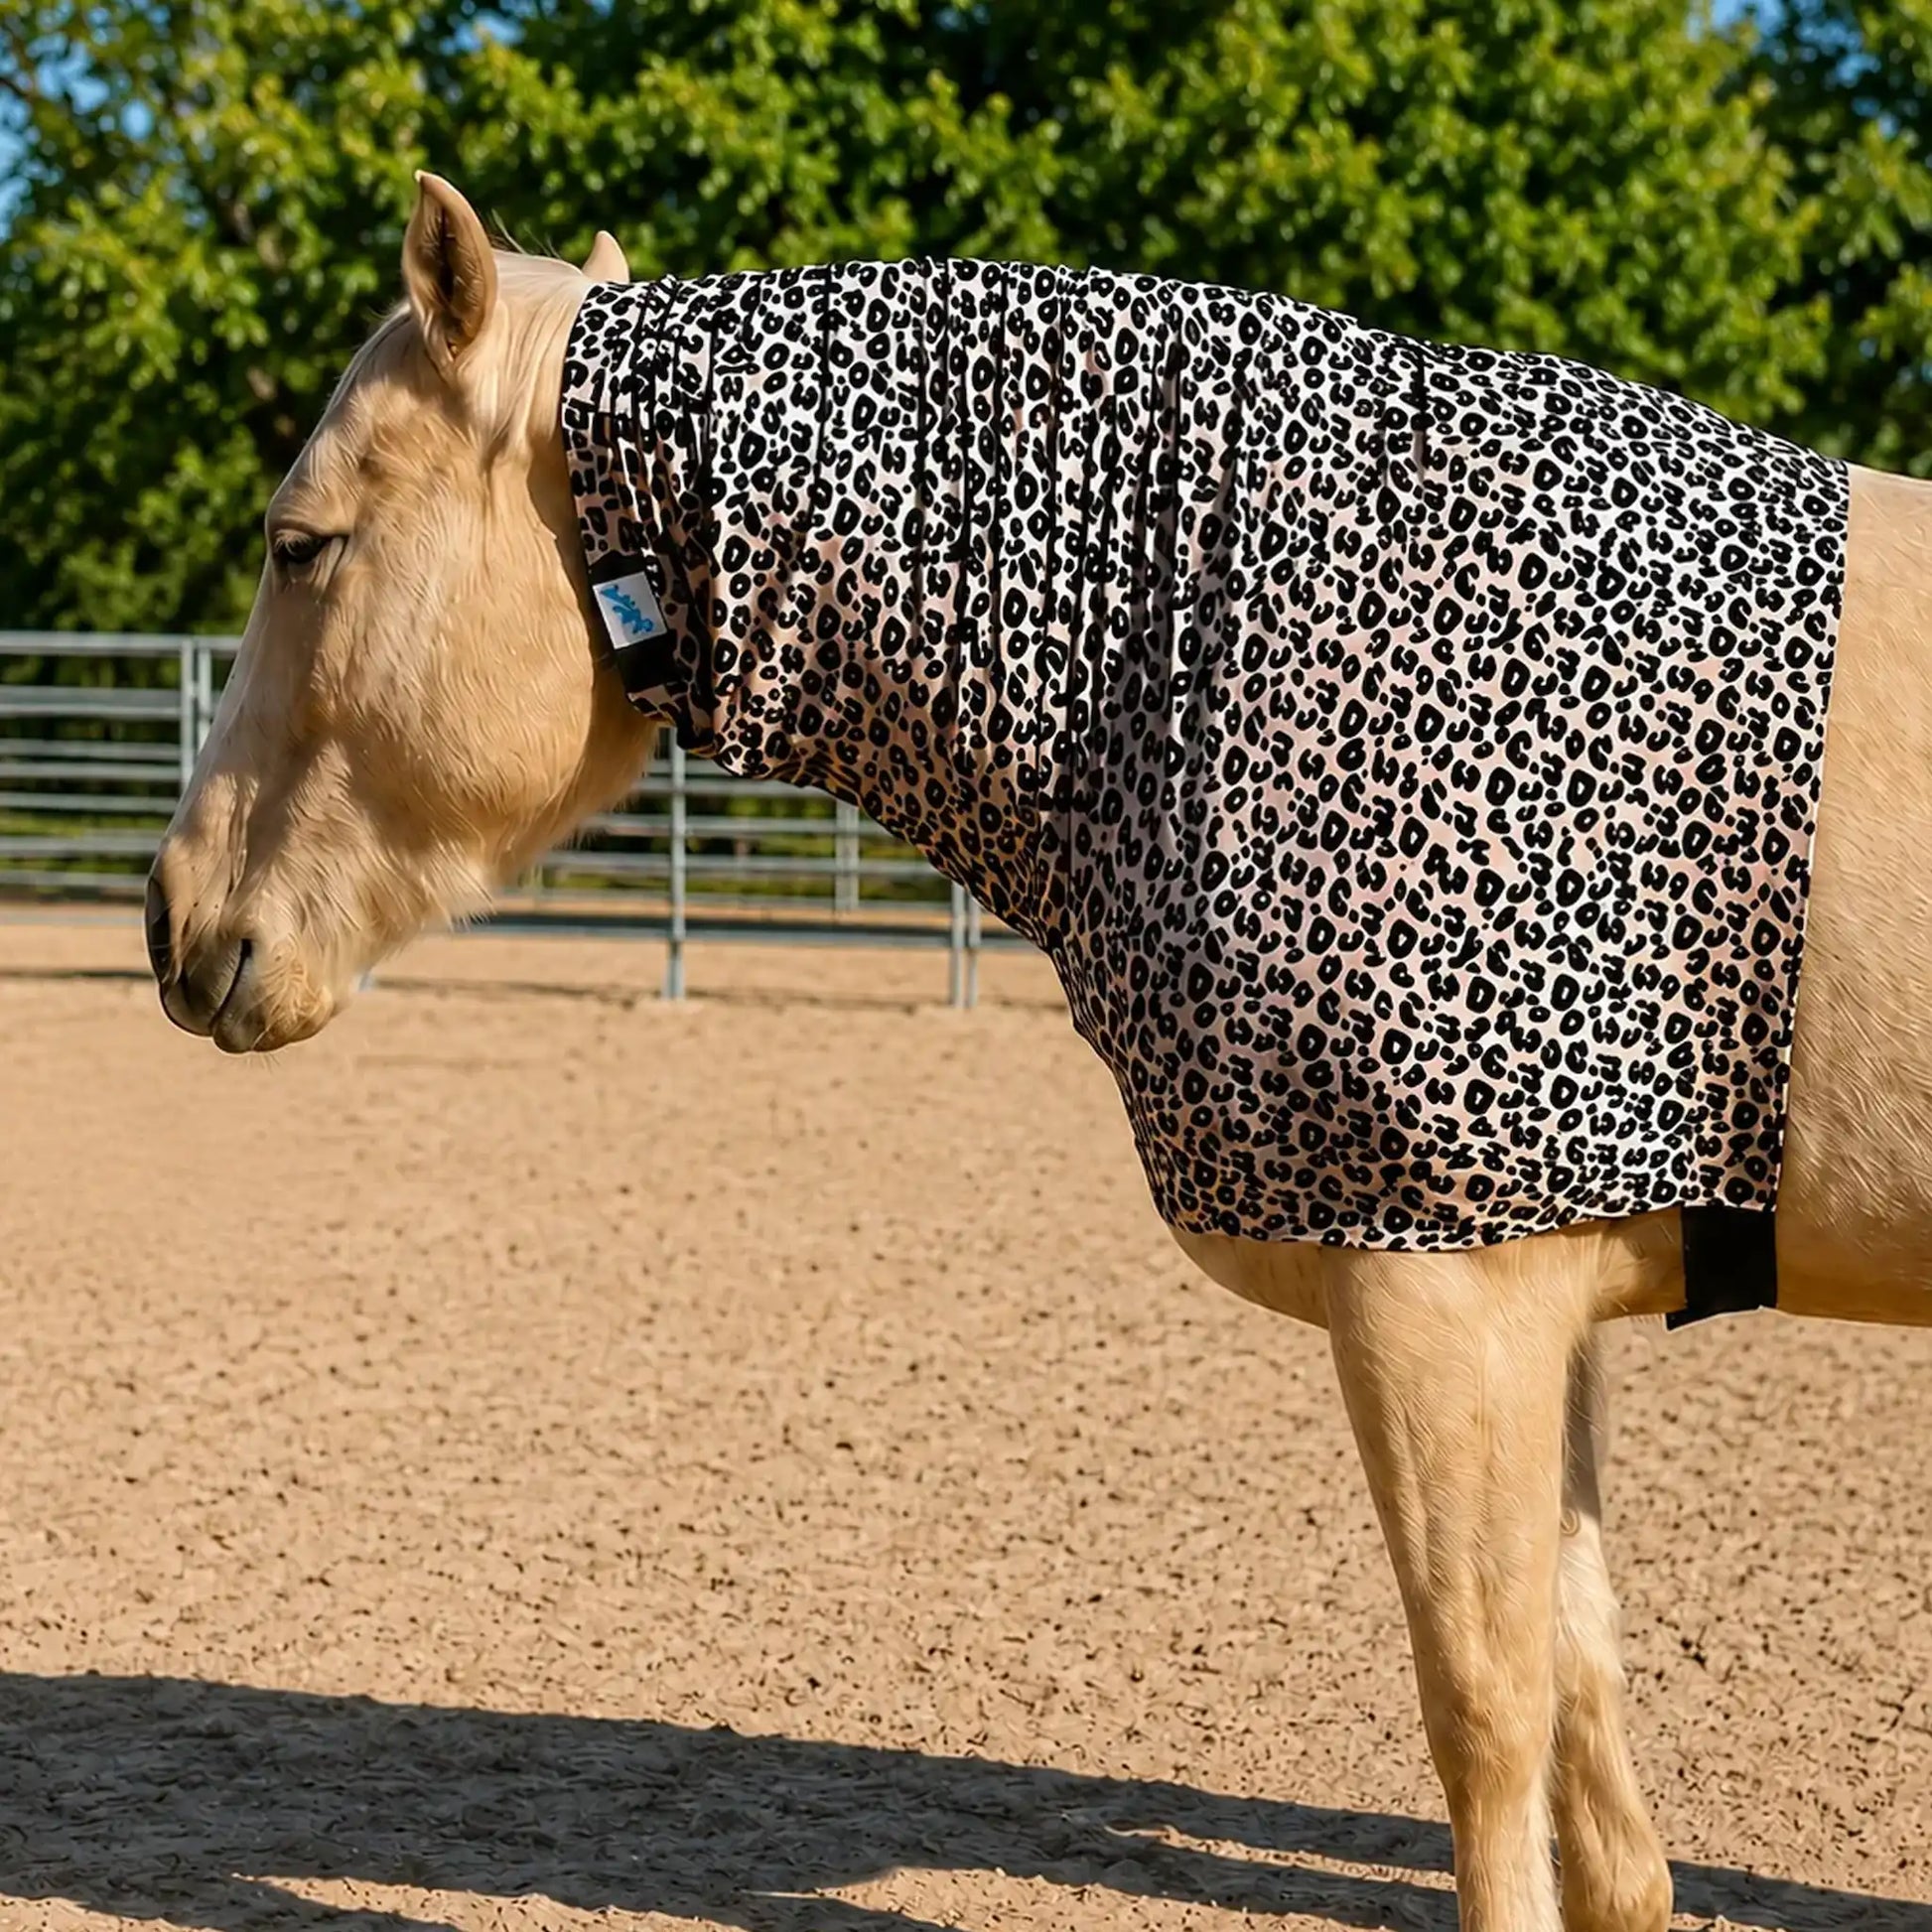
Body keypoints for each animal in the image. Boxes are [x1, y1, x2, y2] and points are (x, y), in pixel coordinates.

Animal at [144, 173, 1932, 1932]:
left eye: (301, 545)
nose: (176, 921)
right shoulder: (1533, 1308)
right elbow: (1583, 1712)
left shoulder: (1448, 1307)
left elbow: (1487, 1719)